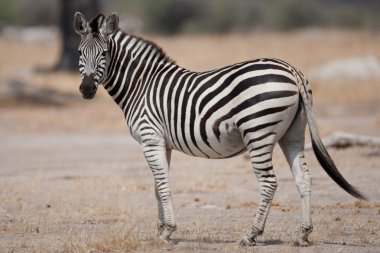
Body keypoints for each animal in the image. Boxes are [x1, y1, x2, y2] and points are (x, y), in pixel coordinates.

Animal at [72, 12, 366, 246]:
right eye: (78, 53)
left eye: (104, 54)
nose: (86, 90)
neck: (141, 84)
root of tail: (292, 70)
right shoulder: (162, 142)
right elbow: (158, 185)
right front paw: (162, 229)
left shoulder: (150, 138)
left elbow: (163, 184)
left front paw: (168, 231)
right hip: (292, 135)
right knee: (303, 178)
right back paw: (303, 234)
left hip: (258, 132)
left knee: (269, 182)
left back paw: (251, 234)